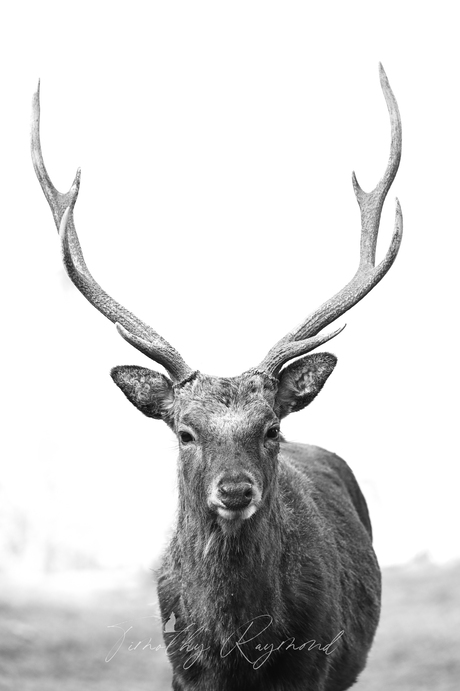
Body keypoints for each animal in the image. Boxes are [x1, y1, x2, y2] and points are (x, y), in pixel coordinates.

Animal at [31, 64, 402, 691]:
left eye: (271, 429)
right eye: (185, 432)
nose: (234, 490)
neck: (241, 651)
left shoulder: (314, 665)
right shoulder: (182, 669)